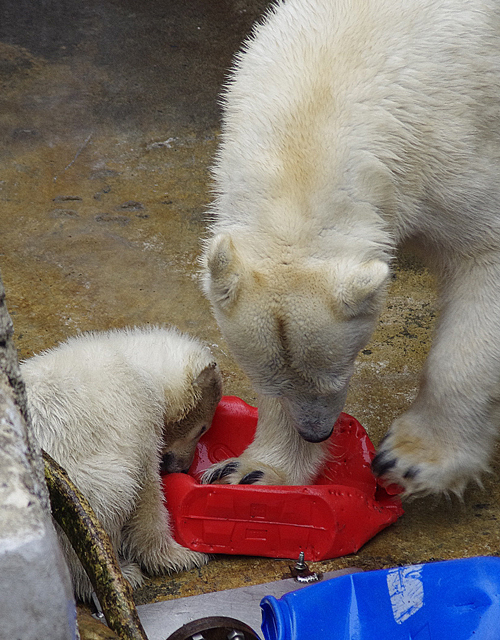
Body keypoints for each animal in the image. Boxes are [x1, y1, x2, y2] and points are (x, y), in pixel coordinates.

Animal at [201, 0, 500, 496]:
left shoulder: (457, 145)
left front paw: (414, 459)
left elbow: (482, 258)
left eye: (342, 366)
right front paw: (255, 472)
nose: (315, 432)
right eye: (270, 381)